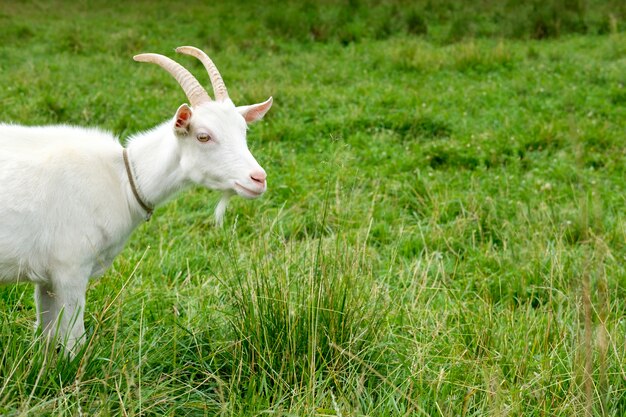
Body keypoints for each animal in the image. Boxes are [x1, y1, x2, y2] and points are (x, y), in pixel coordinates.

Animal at [0, 45, 272, 352]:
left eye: (243, 131)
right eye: (203, 136)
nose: (258, 178)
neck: (123, 179)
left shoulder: (47, 279)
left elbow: (47, 338)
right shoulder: (70, 269)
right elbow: (73, 340)